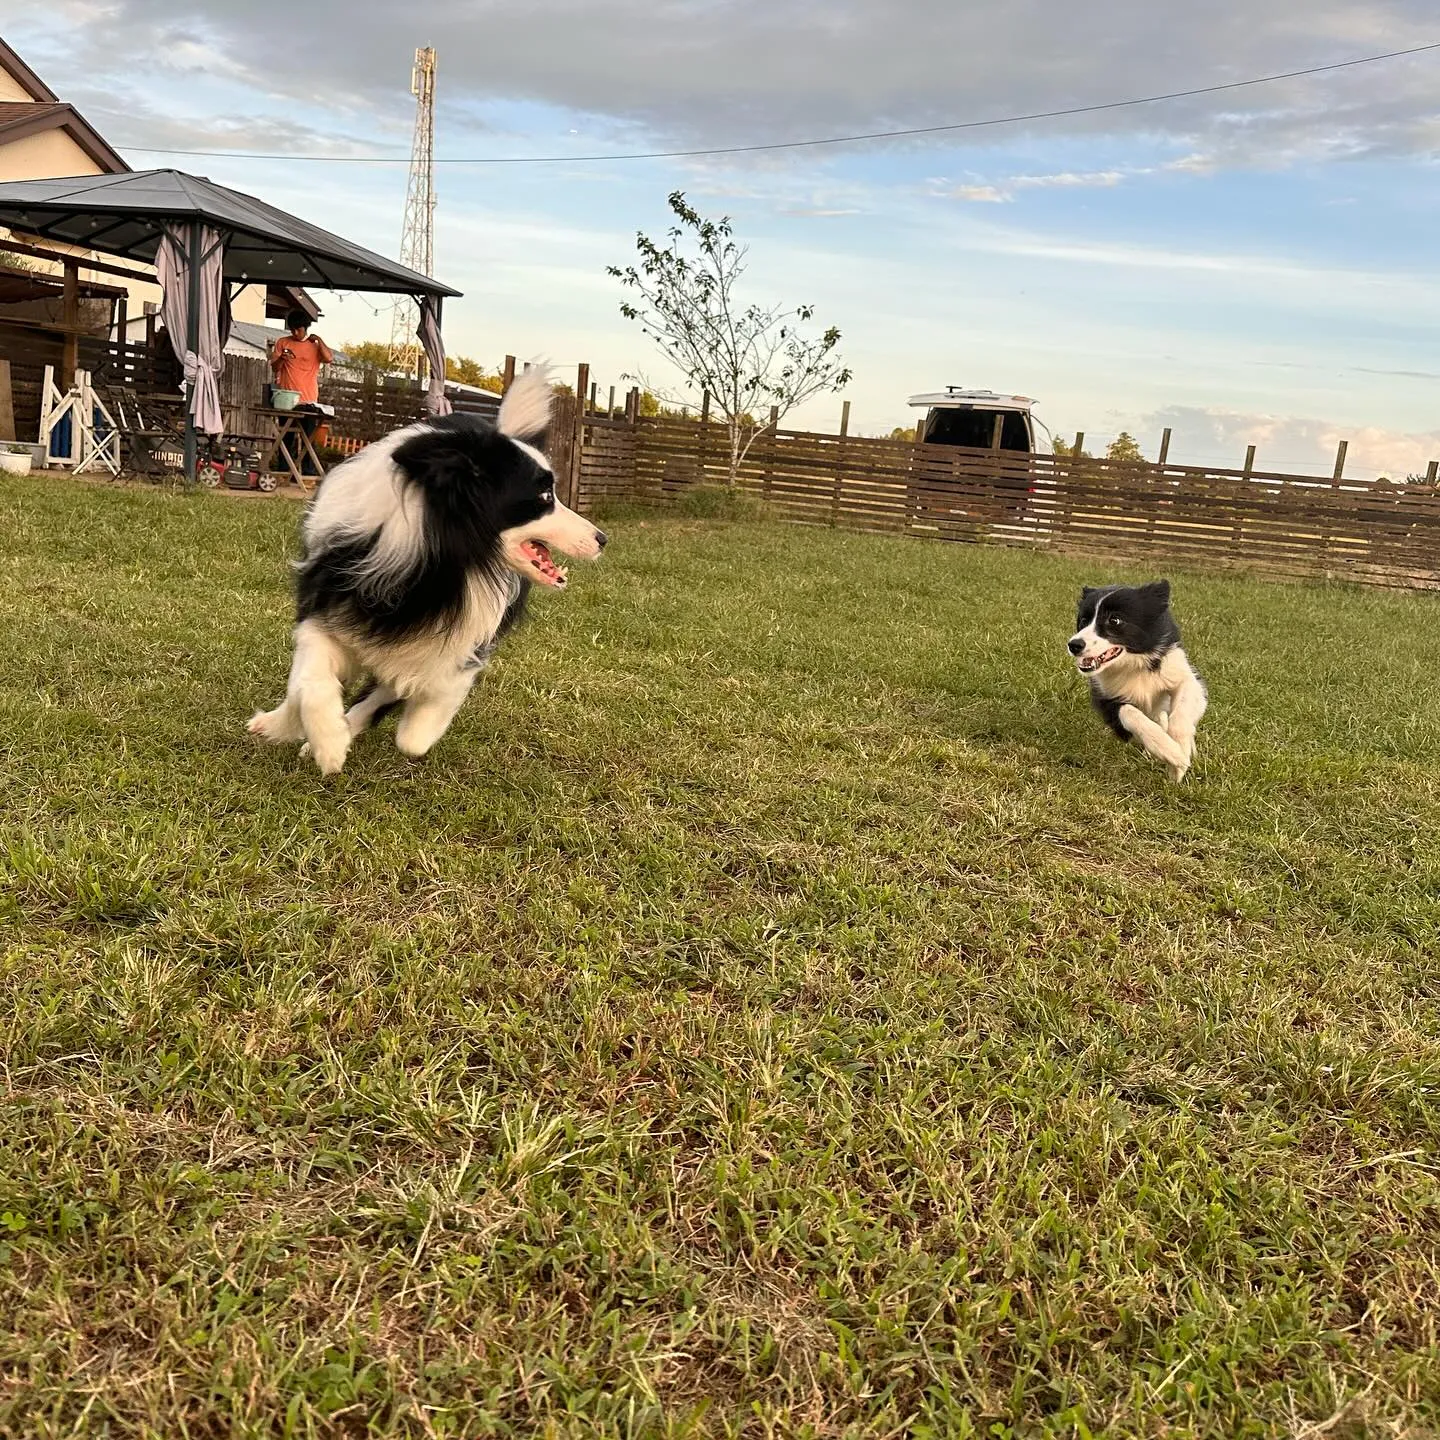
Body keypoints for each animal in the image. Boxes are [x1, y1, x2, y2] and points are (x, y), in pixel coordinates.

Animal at [250, 371, 604, 777]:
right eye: (545, 497)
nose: (603, 539)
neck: (438, 563)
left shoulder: (456, 643)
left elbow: (412, 730)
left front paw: (384, 725)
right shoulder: (328, 603)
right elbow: (309, 682)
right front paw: (327, 742)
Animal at [1065, 578, 1209, 783]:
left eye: (1114, 620)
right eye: (1083, 620)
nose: (1074, 645)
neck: (1133, 664)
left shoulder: (1183, 675)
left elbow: (1181, 712)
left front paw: (1180, 755)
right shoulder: (1105, 696)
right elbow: (1130, 713)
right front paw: (1169, 751)